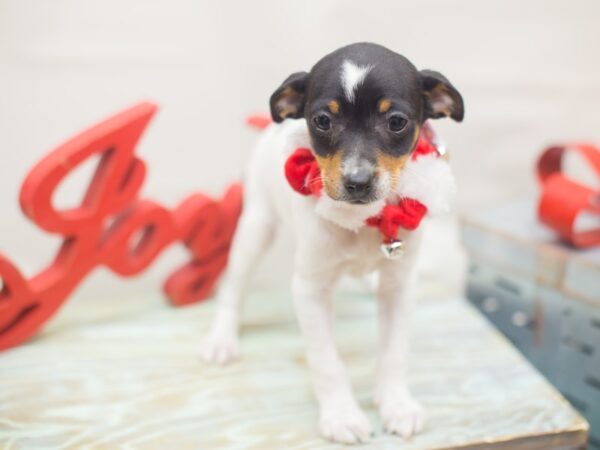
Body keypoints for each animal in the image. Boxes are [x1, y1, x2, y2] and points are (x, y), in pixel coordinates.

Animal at [202, 42, 464, 442]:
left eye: (396, 122)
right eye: (323, 121)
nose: (357, 182)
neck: (365, 219)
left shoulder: (400, 285)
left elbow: (394, 352)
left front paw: (396, 404)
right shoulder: (310, 289)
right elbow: (326, 361)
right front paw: (341, 415)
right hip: (257, 225)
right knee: (234, 284)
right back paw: (222, 338)